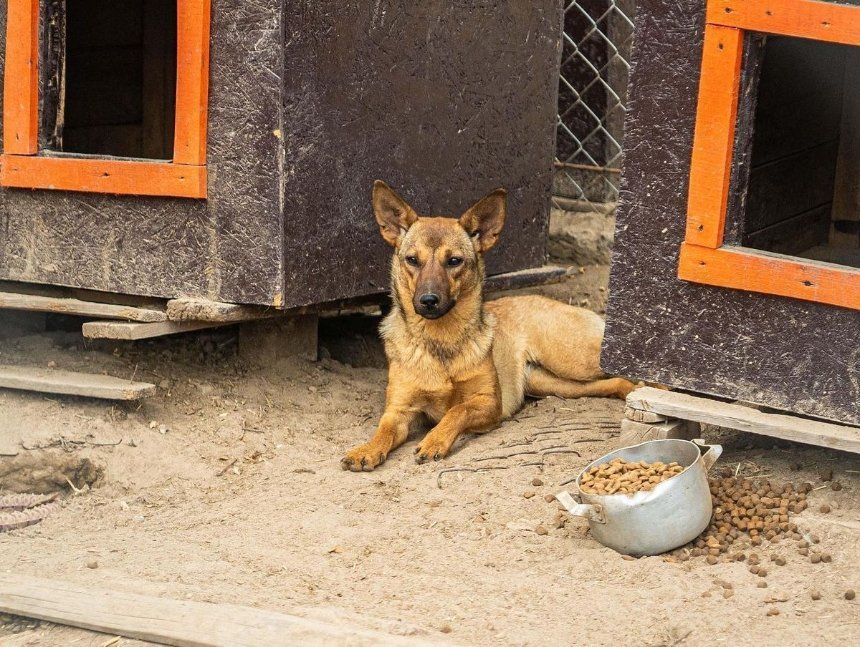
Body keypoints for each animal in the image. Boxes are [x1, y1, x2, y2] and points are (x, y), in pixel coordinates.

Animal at [340, 182, 636, 470]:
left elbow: (457, 410)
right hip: (556, 384)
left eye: (454, 261)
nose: (428, 301)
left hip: (574, 361)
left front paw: (435, 440)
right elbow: (384, 429)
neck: (440, 341)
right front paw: (366, 450)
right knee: (611, 383)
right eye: (412, 260)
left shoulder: (489, 402)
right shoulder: (399, 411)